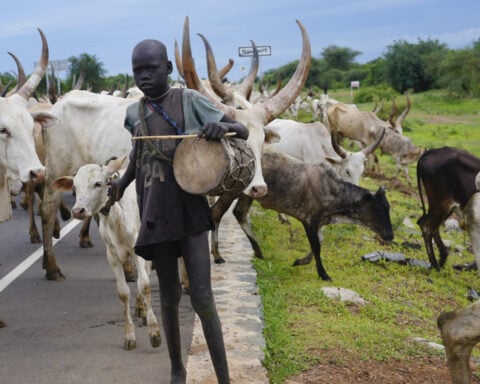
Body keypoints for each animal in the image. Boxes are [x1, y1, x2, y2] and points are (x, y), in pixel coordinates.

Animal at [51, 157, 161, 352]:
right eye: (75, 187)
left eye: (98, 183)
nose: (77, 211)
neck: (117, 218)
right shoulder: (112, 256)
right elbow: (123, 293)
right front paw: (129, 337)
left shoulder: (138, 251)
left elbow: (145, 285)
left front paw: (154, 333)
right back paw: (140, 307)